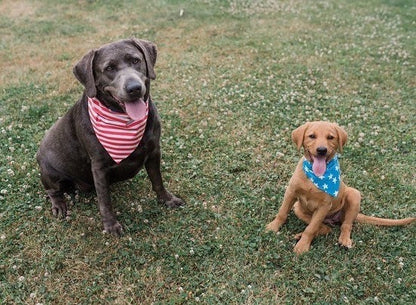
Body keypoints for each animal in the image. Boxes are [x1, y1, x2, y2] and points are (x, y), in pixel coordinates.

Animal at [37, 37, 184, 233]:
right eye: (109, 68)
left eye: (136, 60)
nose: (134, 88)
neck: (124, 120)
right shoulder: (99, 167)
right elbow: (105, 200)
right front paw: (111, 225)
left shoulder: (154, 151)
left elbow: (157, 180)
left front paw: (167, 199)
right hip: (50, 172)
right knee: (52, 191)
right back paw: (59, 204)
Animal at [268, 121, 414, 254]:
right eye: (312, 136)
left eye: (330, 137)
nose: (322, 150)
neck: (316, 176)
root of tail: (333, 219)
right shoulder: (291, 192)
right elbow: (282, 212)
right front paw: (272, 227)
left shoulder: (324, 206)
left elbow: (311, 229)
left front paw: (302, 246)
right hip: (298, 208)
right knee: (324, 228)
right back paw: (300, 235)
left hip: (354, 195)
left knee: (344, 225)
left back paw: (344, 240)